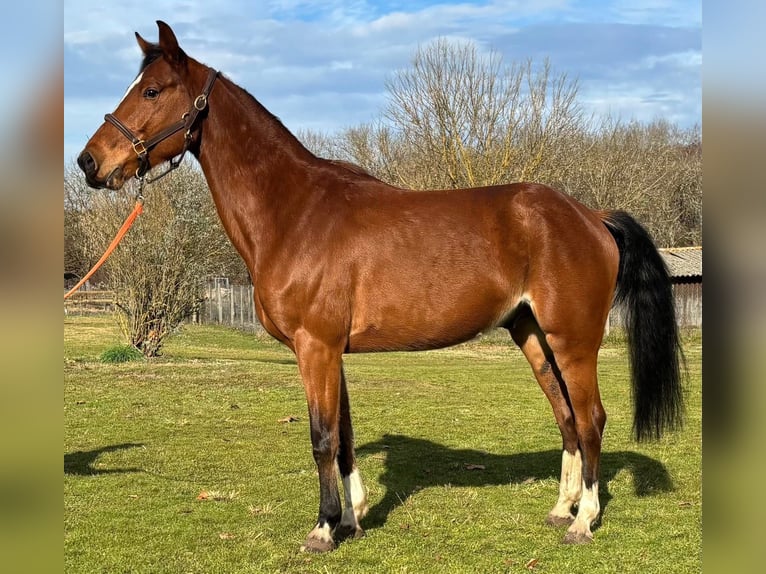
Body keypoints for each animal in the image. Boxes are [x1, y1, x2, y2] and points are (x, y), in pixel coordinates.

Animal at [77, 21, 683, 552]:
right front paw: (352, 517)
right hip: (531, 335)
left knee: (591, 418)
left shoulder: (315, 348)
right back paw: (561, 508)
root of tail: (591, 216)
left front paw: (323, 529)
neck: (293, 212)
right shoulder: (329, 352)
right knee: (566, 416)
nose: (89, 161)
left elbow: (322, 437)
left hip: (574, 341)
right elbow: (343, 438)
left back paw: (584, 521)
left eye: (152, 90)